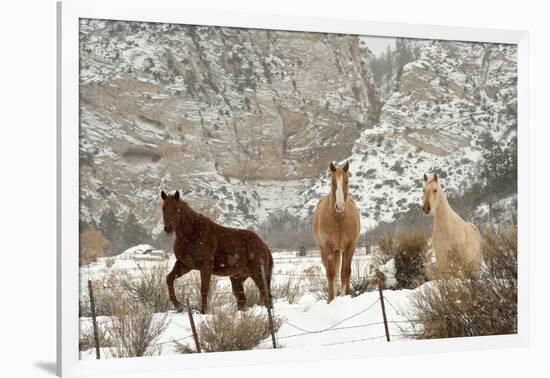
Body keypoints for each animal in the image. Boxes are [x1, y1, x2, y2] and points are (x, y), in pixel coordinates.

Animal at [314, 161, 362, 302]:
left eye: (346, 181)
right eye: (333, 181)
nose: (339, 206)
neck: (339, 218)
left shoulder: (350, 246)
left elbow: (346, 272)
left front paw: (346, 295)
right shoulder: (328, 247)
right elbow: (331, 274)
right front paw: (331, 300)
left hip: (339, 251)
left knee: (340, 273)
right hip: (326, 251)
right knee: (332, 274)